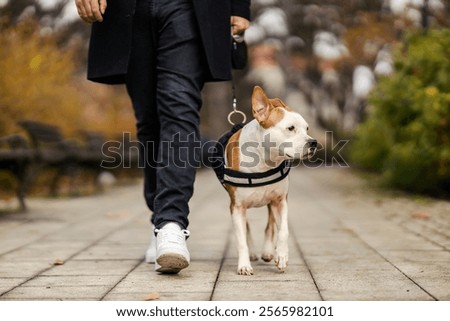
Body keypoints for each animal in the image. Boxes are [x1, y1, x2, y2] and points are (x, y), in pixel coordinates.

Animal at [221, 85, 316, 276]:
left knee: (270, 225)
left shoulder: (280, 201)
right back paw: (253, 253)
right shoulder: (237, 206)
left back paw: (268, 251)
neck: (264, 161)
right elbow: (241, 239)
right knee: (247, 228)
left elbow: (283, 231)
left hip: (271, 202)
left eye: (307, 128)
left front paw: (282, 255)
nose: (313, 143)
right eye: (290, 128)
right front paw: (244, 265)